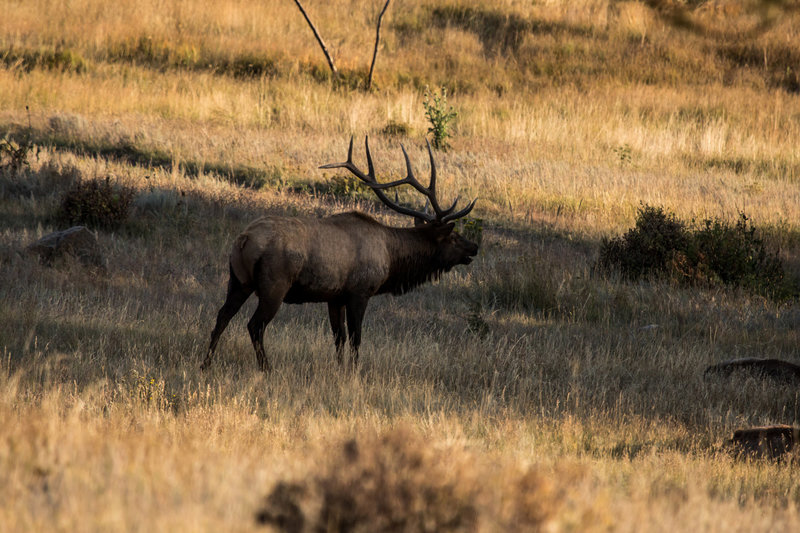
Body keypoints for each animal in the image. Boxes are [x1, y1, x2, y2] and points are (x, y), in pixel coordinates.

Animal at [203, 137, 478, 370]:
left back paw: (206, 364)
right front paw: (354, 371)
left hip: (238, 281)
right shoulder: (360, 291)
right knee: (255, 325)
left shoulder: (335, 297)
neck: (391, 259)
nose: (474, 247)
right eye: (454, 237)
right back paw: (266, 369)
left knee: (222, 316)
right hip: (274, 285)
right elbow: (356, 338)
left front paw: (339, 368)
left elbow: (339, 337)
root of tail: (244, 240)